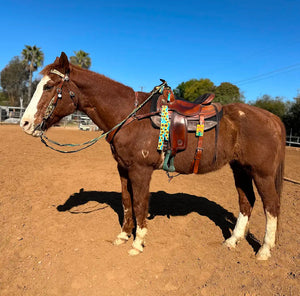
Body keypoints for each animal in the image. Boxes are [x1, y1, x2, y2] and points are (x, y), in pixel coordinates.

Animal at [19, 52, 284, 260]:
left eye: (49, 87)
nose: (25, 123)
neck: (129, 115)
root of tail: (272, 118)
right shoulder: (123, 168)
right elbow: (126, 201)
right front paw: (123, 235)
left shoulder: (140, 170)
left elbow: (139, 203)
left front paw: (138, 243)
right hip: (240, 169)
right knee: (246, 202)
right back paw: (232, 241)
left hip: (262, 173)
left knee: (271, 205)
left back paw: (264, 251)